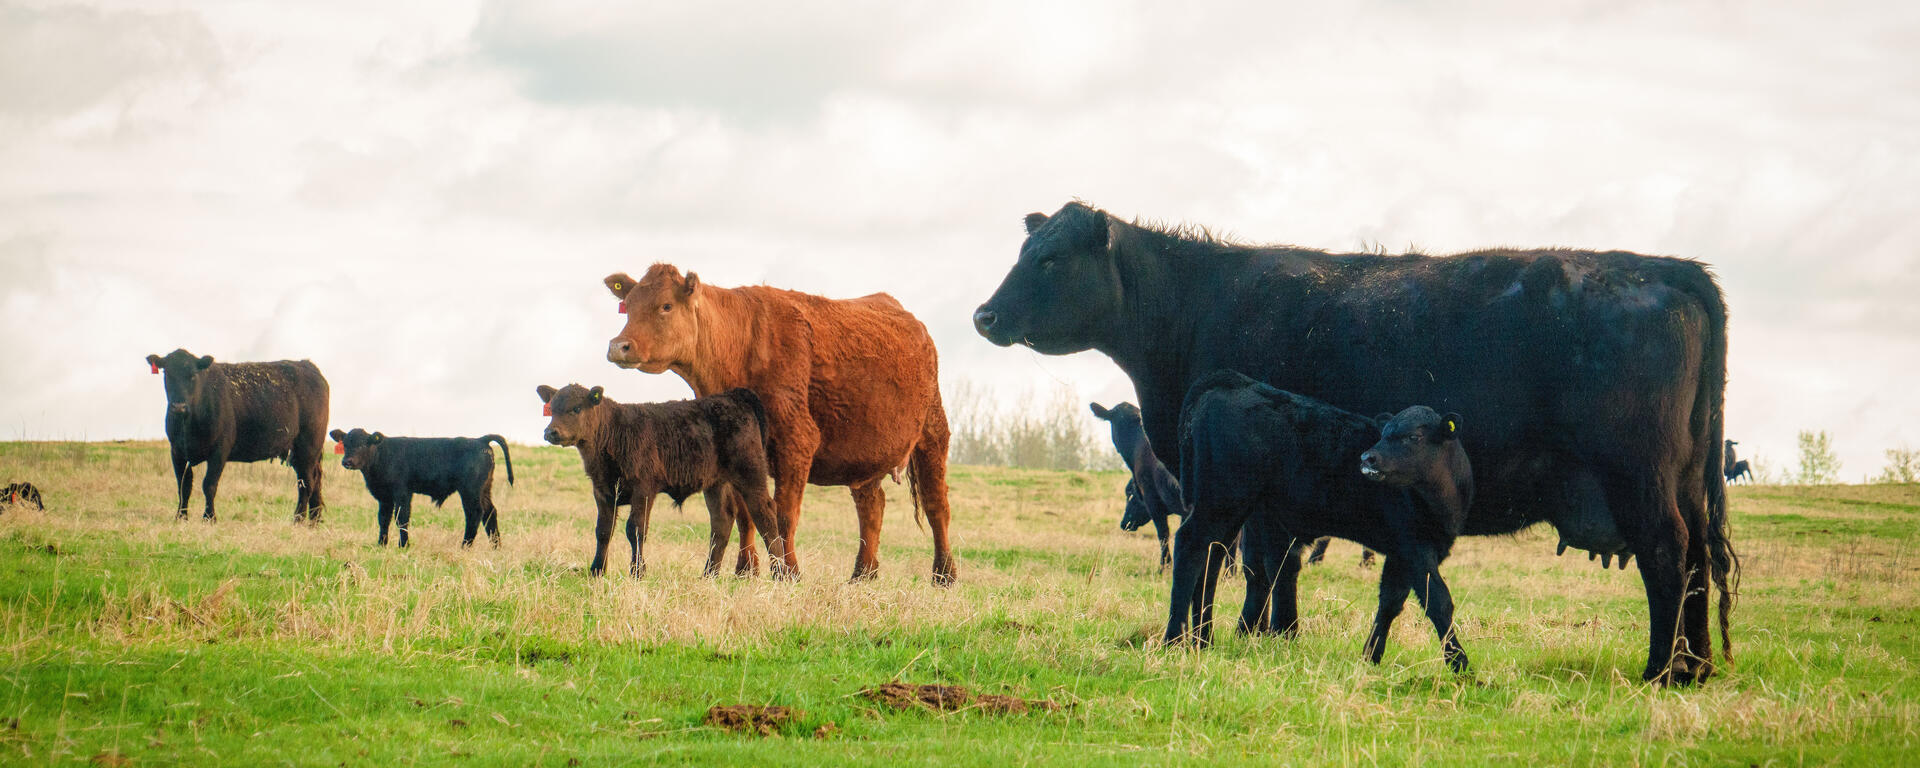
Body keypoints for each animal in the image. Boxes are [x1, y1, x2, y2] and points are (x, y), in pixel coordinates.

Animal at [145, 349, 329, 523]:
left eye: (193, 375)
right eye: (167, 374)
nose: (179, 406)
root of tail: (307, 365)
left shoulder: (219, 451)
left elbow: (209, 485)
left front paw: (209, 517)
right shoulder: (177, 452)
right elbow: (183, 486)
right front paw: (181, 517)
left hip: (308, 447)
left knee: (306, 484)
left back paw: (298, 519)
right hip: (299, 453)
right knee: (314, 480)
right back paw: (314, 519)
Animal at [329, 429, 513, 548]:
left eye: (362, 445)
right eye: (345, 445)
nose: (347, 461)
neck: (382, 455)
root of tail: (480, 439)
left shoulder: (402, 492)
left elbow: (401, 518)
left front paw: (403, 545)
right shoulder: (384, 497)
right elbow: (383, 519)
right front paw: (381, 544)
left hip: (470, 491)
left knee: (474, 514)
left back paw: (465, 546)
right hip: (484, 490)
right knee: (490, 513)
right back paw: (496, 546)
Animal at [537, 383, 782, 579]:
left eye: (576, 408)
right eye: (552, 409)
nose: (550, 432)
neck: (613, 433)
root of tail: (734, 395)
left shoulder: (643, 487)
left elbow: (635, 529)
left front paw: (637, 572)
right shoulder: (602, 491)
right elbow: (603, 530)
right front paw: (597, 570)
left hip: (750, 471)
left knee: (765, 514)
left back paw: (782, 574)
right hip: (715, 483)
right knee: (722, 520)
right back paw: (709, 575)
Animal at [603, 265, 956, 585]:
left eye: (666, 305)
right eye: (628, 305)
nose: (618, 345)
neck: (740, 346)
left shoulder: (797, 440)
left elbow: (783, 514)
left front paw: (789, 572)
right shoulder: (738, 454)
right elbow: (745, 515)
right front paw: (746, 571)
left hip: (932, 433)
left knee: (937, 506)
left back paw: (944, 575)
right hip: (865, 452)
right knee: (872, 508)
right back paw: (863, 574)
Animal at [1172, 372, 1475, 671]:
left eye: (1415, 436)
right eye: (1384, 433)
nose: (1368, 458)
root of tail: (1232, 380)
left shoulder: (1402, 552)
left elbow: (1390, 601)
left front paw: (1370, 657)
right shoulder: (1414, 546)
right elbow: (1438, 601)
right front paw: (1461, 665)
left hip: (1233, 509)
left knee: (1211, 560)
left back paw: (1204, 641)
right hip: (1221, 500)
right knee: (1190, 546)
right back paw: (1174, 642)